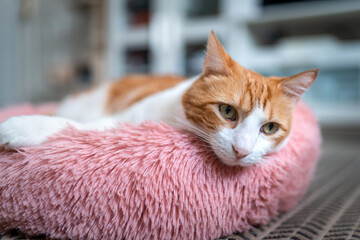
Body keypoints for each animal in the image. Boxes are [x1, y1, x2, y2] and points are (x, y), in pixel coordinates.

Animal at [0, 31, 318, 167]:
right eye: (227, 111)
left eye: (270, 128)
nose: (241, 151)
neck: (174, 120)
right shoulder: (122, 120)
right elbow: (72, 125)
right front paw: (20, 126)